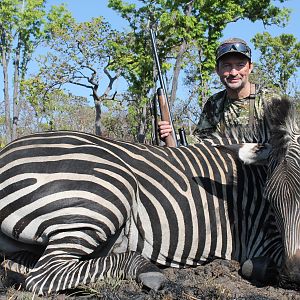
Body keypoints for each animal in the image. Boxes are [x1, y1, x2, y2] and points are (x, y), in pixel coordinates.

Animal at [0, 97, 298, 294]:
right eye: (270, 201)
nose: (294, 275)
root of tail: (6, 152)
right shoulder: (262, 239)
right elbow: (255, 264)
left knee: (21, 266)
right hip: (106, 194)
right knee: (43, 275)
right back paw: (149, 271)